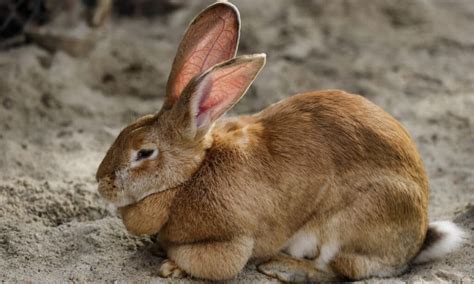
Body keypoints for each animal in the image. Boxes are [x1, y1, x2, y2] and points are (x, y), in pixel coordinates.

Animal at [94, 0, 464, 282]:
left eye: (144, 152)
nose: (101, 183)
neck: (188, 178)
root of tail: (415, 240)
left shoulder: (232, 241)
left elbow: (213, 263)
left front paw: (171, 267)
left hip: (349, 222)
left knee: (342, 268)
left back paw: (282, 267)